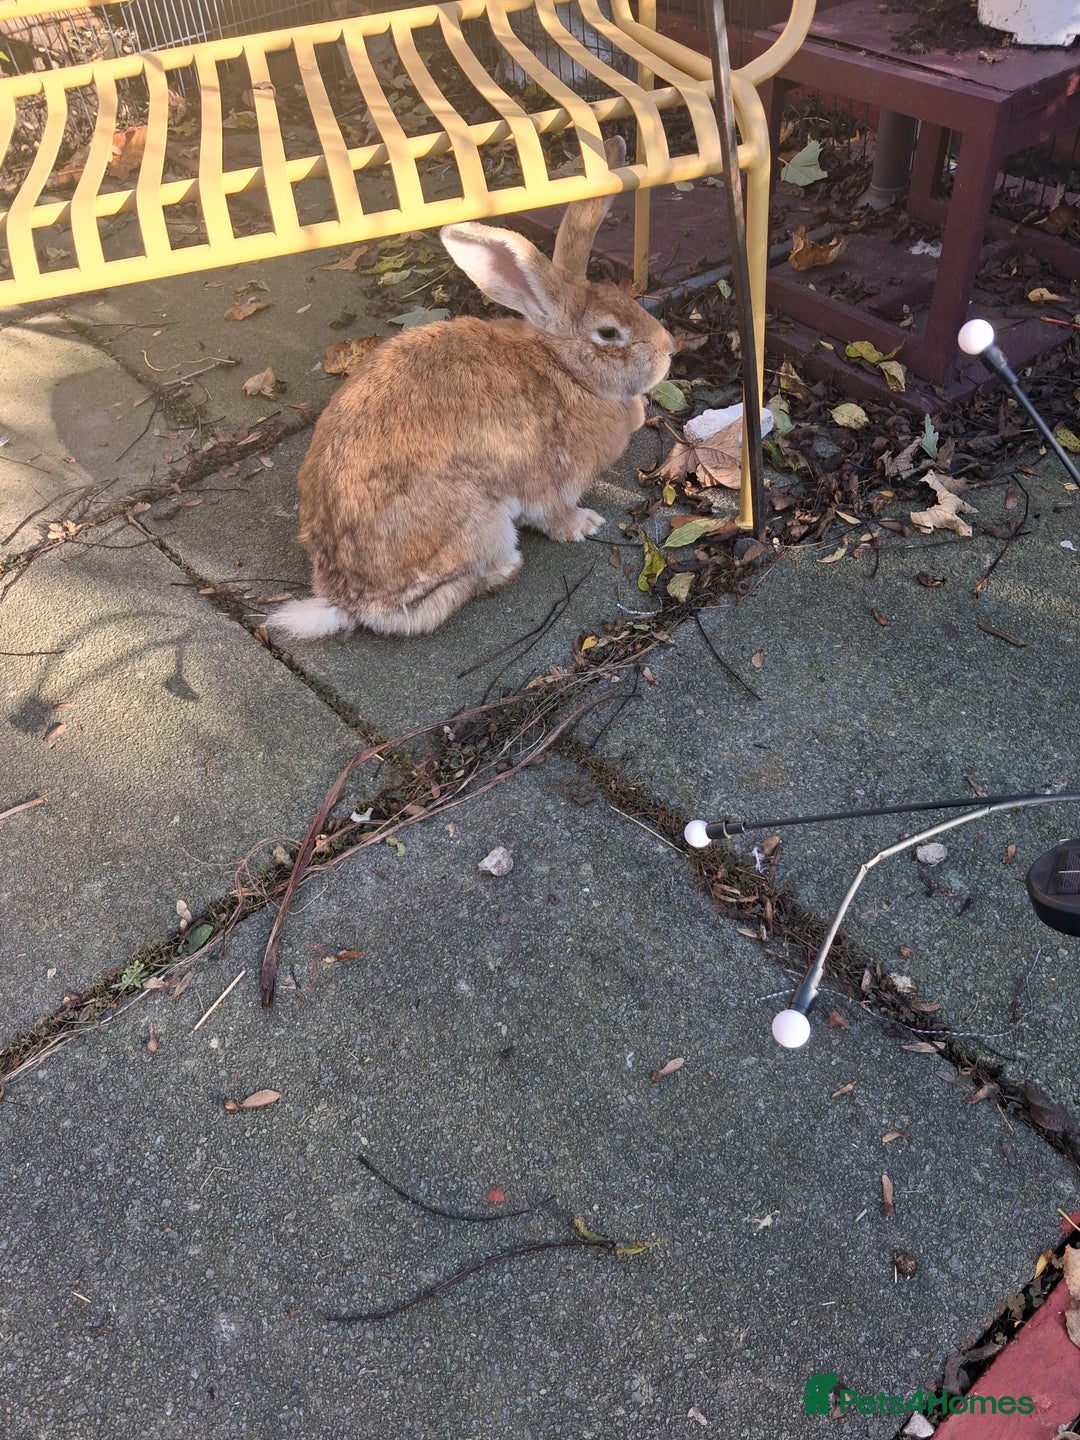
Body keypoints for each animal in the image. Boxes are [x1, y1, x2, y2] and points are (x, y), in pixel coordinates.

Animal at [269, 134, 674, 641]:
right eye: (608, 333)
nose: (669, 350)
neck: (564, 369)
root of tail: (348, 599)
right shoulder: (549, 480)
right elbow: (554, 515)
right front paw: (585, 524)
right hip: (482, 522)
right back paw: (506, 568)